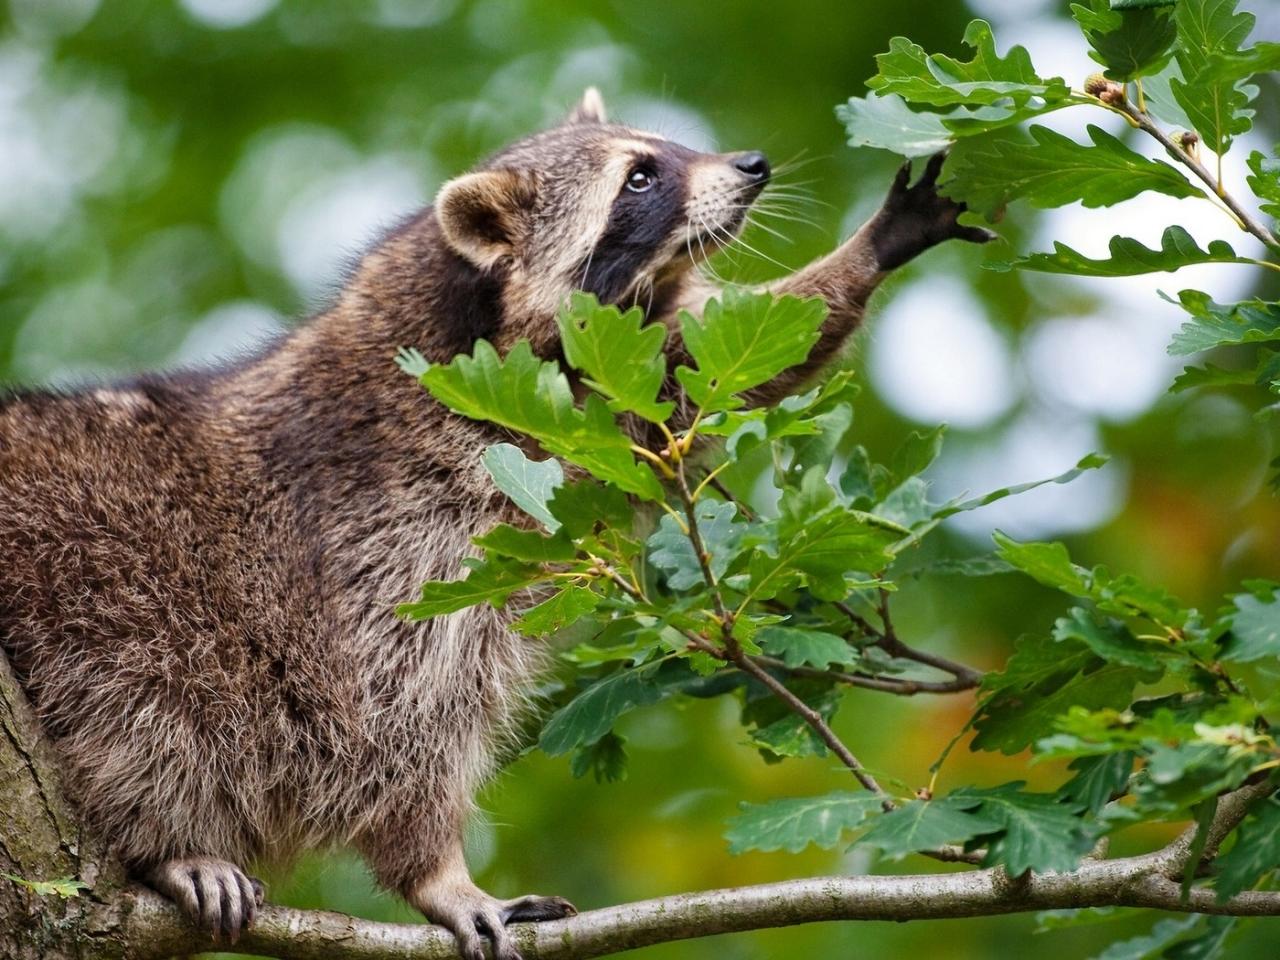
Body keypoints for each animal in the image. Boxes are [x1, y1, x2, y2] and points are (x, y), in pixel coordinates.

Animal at [0, 90, 988, 960]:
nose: (750, 165)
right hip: (99, 580)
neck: (471, 320)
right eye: (640, 176)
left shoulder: (606, 401)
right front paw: (437, 875)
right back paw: (171, 843)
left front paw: (871, 247)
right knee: (146, 707)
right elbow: (392, 720)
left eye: (665, 145)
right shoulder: (391, 529)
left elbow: (734, 357)